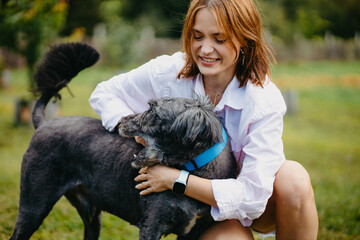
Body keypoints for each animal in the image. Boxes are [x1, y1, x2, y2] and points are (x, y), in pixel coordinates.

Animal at [9, 43, 236, 240]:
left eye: (153, 111)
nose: (123, 121)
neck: (192, 171)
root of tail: (43, 124)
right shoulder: (151, 226)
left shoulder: (192, 232)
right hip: (34, 205)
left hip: (91, 216)